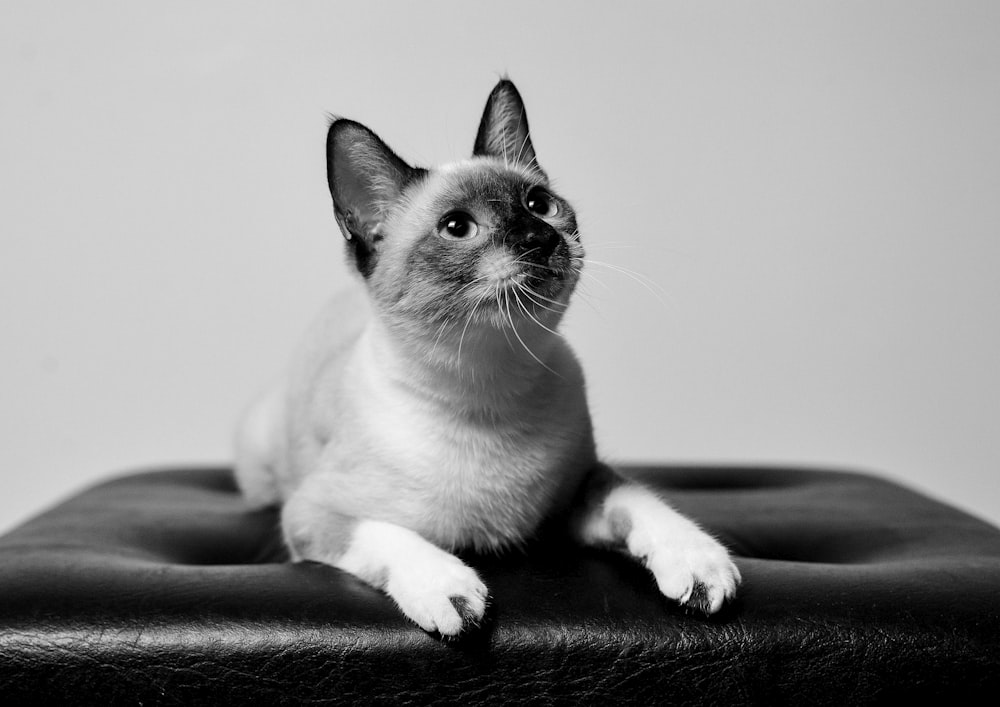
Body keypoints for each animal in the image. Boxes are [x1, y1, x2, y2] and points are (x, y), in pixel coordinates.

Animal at [230, 77, 740, 636]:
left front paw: (698, 566)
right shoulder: (315, 514)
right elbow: (394, 539)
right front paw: (451, 593)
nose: (541, 238)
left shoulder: (578, 493)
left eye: (539, 204)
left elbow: (642, 501)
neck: (489, 382)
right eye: (457, 228)